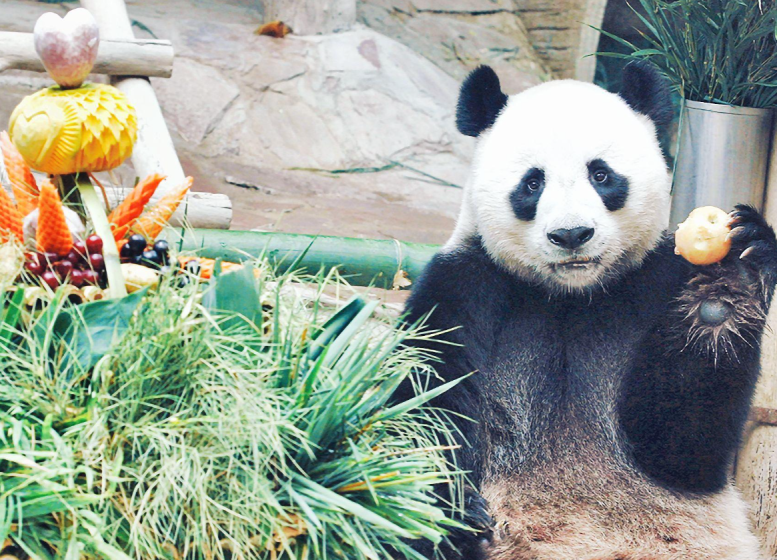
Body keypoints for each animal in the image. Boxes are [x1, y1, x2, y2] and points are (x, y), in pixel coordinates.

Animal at [401, 61, 777, 560]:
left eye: (601, 175)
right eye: (532, 182)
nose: (572, 234)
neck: (570, 296)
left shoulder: (653, 282)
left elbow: (682, 447)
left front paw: (730, 284)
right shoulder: (467, 286)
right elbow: (423, 402)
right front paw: (453, 514)